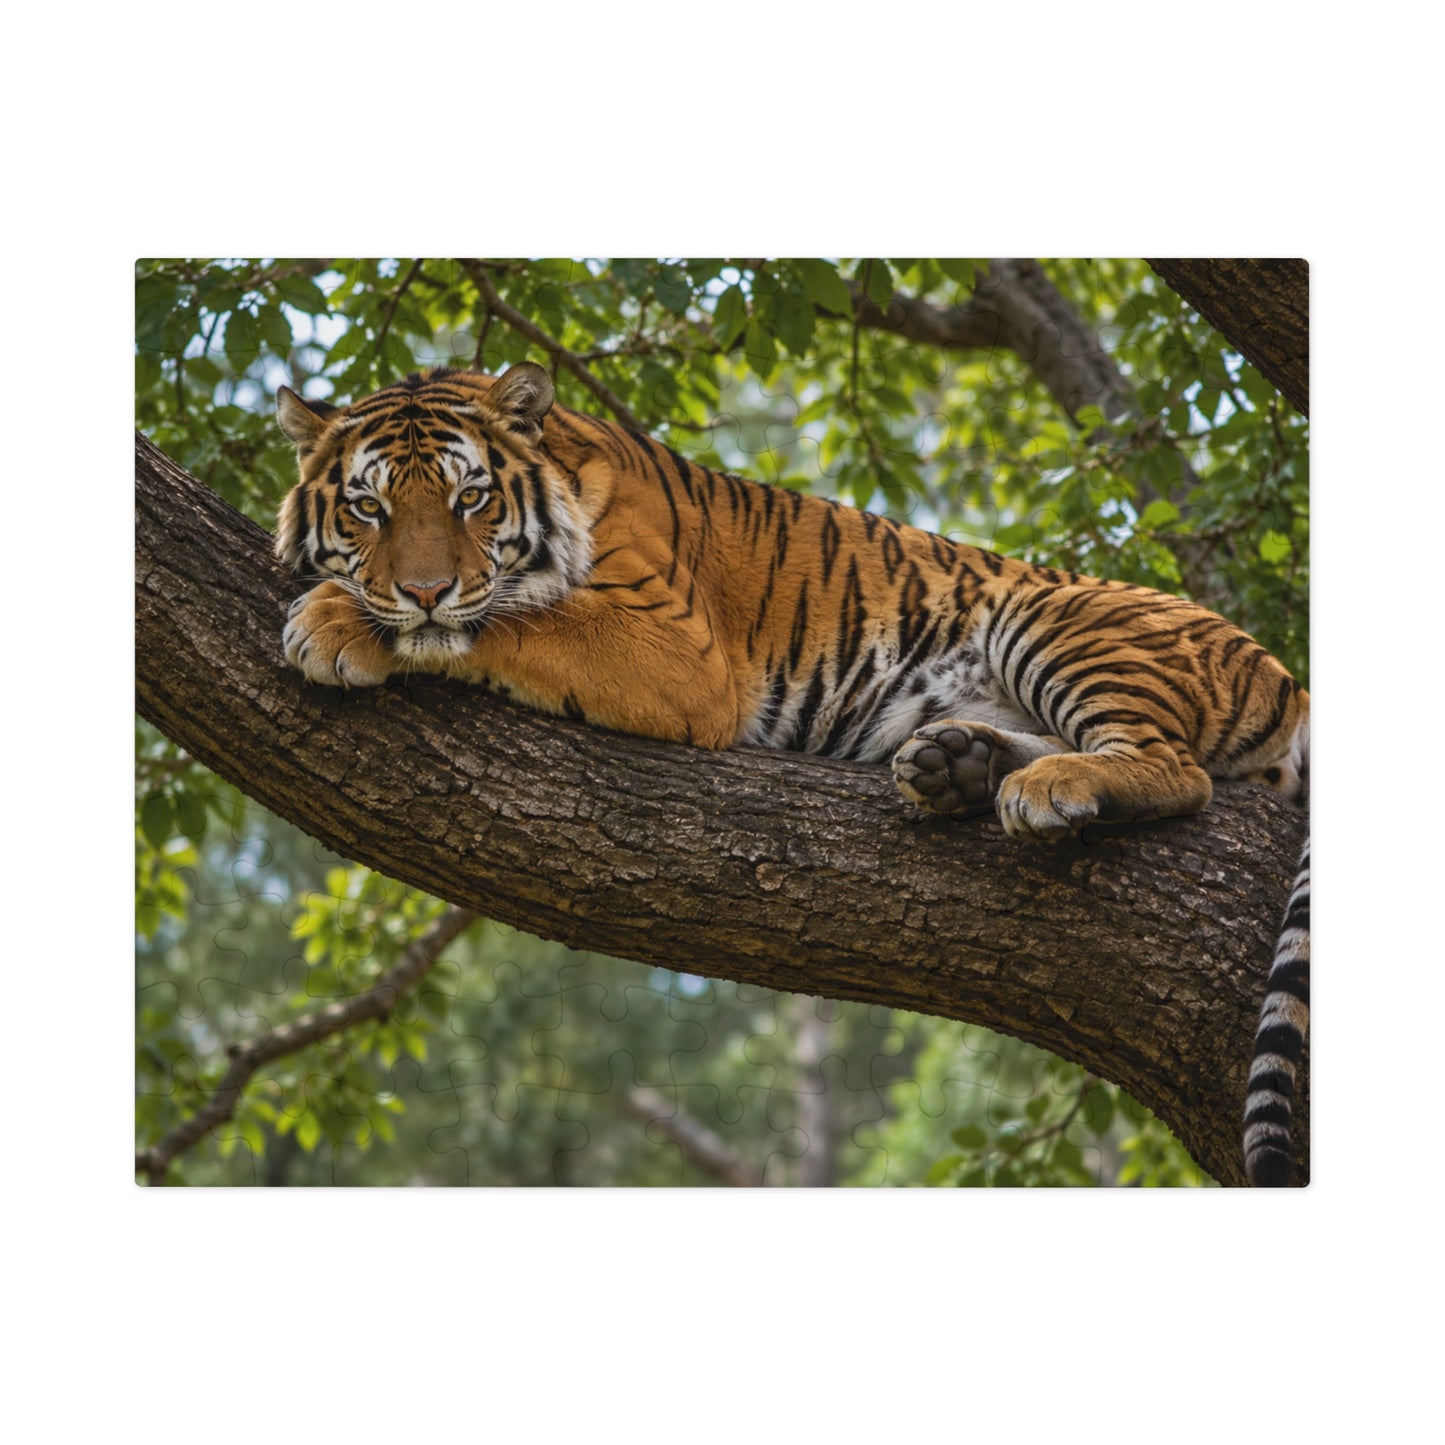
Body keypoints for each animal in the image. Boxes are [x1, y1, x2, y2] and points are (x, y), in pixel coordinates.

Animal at [274, 361, 1311, 1187]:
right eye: (368, 506)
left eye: (469, 498)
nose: (423, 589)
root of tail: (1281, 668)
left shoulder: (679, 649)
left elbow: (510, 617)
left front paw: (335, 622)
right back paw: (954, 766)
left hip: (1052, 615)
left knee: (1176, 768)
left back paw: (1042, 786)